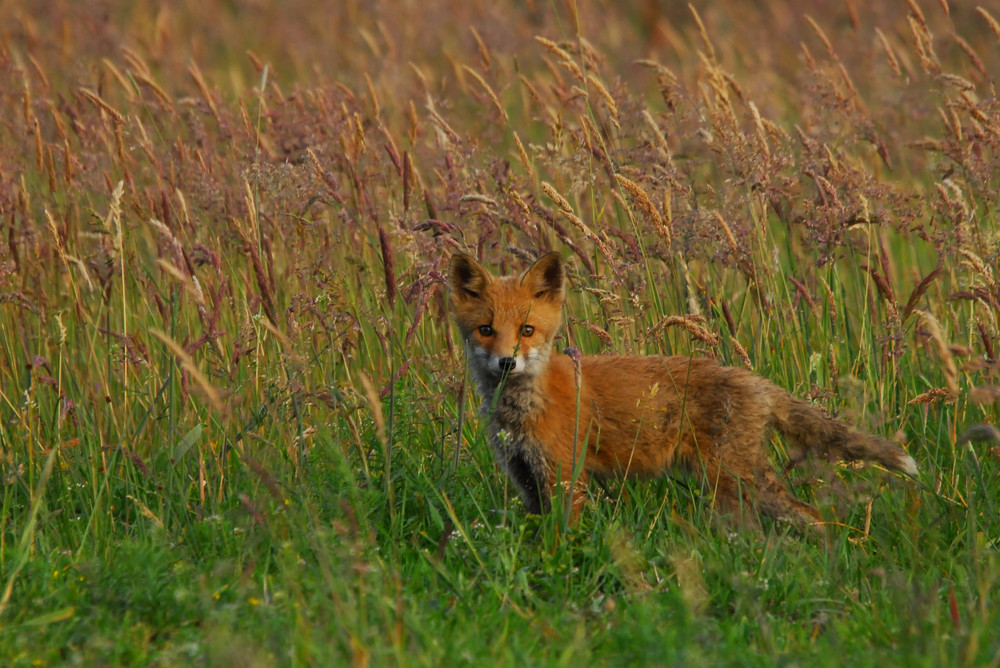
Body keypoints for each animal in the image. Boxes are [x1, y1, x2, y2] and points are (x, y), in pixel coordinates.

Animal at [450, 250, 916, 528]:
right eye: (487, 330)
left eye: (527, 330)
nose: (506, 362)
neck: (522, 410)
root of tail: (756, 379)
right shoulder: (526, 479)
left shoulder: (565, 479)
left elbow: (564, 541)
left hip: (735, 481)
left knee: (801, 517)